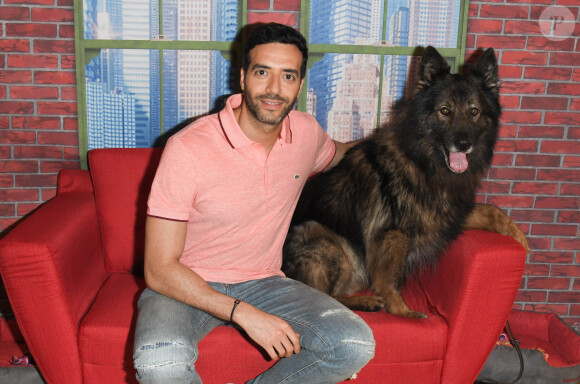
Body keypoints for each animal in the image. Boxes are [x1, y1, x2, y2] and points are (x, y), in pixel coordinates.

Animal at [284, 46, 528, 320]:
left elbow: (491, 210)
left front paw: (516, 234)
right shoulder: (394, 231)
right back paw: (366, 302)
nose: (463, 144)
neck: (424, 161)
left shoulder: (443, 215)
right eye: (445, 111)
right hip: (325, 238)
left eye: (474, 111)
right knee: (325, 299)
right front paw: (403, 311)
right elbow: (391, 277)